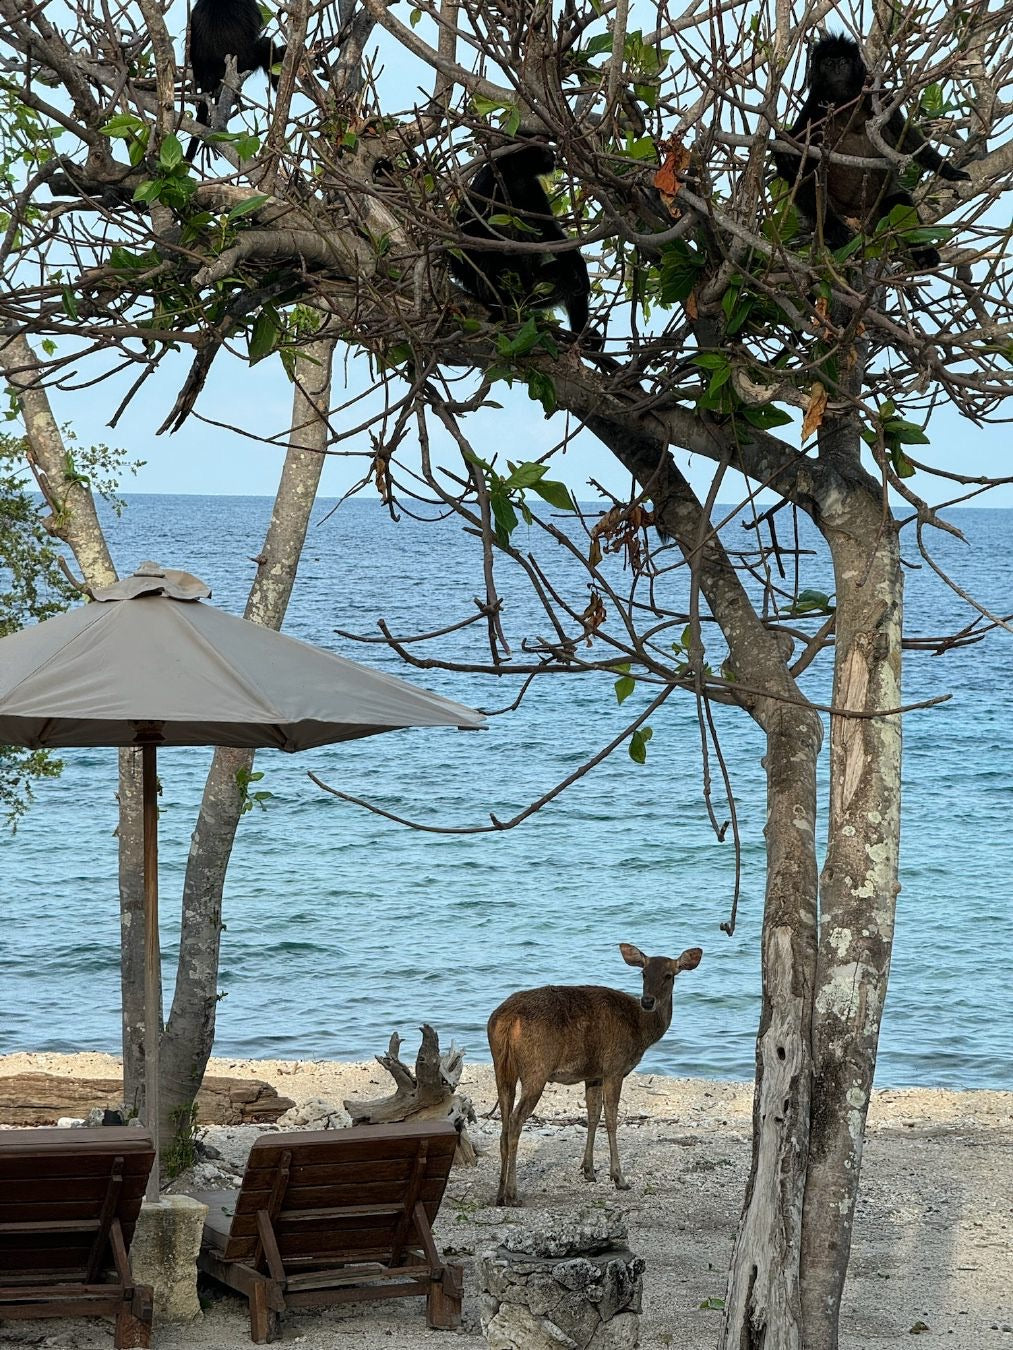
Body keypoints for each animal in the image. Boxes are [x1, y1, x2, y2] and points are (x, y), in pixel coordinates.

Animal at [487, 942, 703, 1206]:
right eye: (643, 973)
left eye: (669, 975)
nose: (648, 1001)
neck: (641, 1031)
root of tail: (507, 1019)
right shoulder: (614, 1067)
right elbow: (611, 1119)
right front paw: (619, 1177)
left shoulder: (593, 1074)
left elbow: (592, 1115)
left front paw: (588, 1170)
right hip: (536, 1068)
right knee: (516, 1120)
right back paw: (513, 1194)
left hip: (501, 1066)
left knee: (504, 1124)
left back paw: (499, 1194)